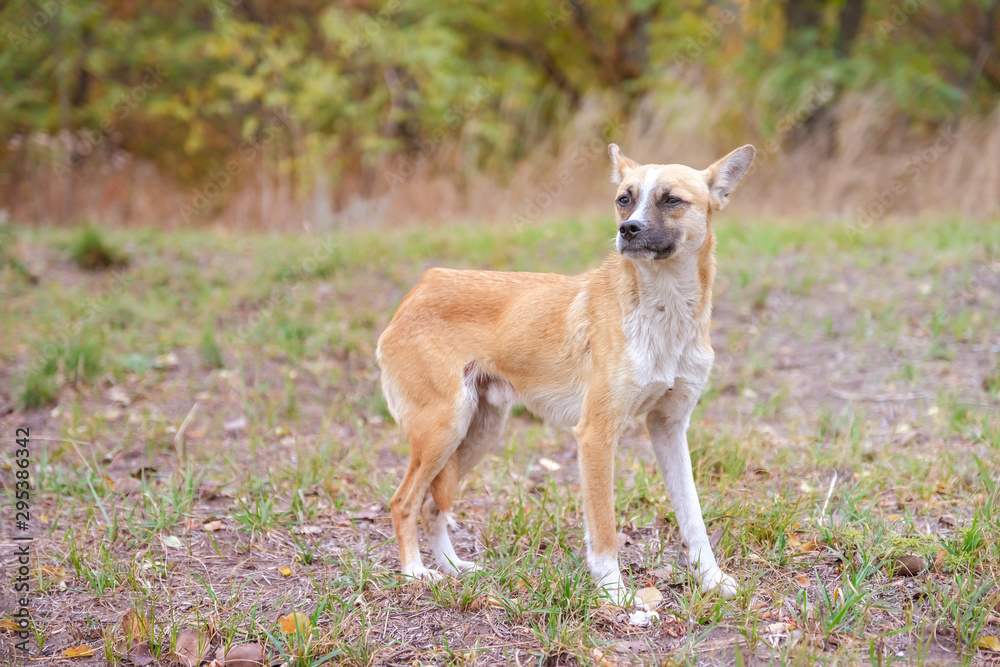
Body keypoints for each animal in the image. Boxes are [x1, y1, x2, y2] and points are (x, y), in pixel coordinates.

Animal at [378, 144, 752, 604]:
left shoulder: (669, 427)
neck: (664, 314)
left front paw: (711, 579)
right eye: (624, 199)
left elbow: (693, 517)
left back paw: (452, 568)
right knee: (403, 502)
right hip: (443, 430)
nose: (628, 229)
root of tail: (421, 287)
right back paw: (415, 572)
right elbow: (605, 530)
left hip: (476, 433)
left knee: (433, 506)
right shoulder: (595, 435)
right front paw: (615, 594)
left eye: (671, 200)